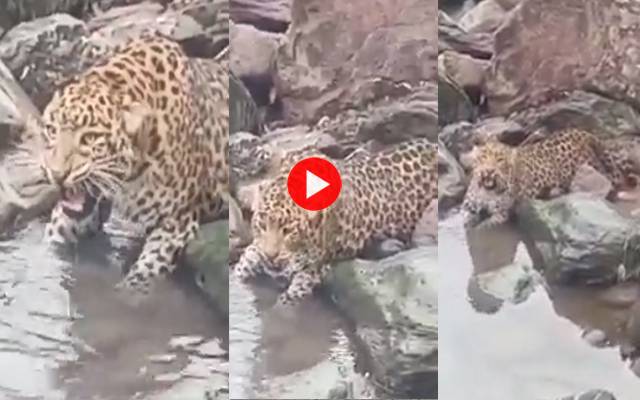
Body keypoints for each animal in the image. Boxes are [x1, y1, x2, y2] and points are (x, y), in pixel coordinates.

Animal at [233, 138, 437, 307]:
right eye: (262, 225)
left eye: (288, 231)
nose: (270, 256)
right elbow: (245, 263)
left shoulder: (317, 266)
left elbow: (291, 297)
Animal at [462, 128, 638, 229]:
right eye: (483, 157)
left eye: (500, 160)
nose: (488, 171)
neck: (486, 189)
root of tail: (581, 133)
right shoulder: (467, 207)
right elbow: (468, 218)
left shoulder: (501, 214)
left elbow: (485, 225)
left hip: (589, 167)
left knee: (611, 179)